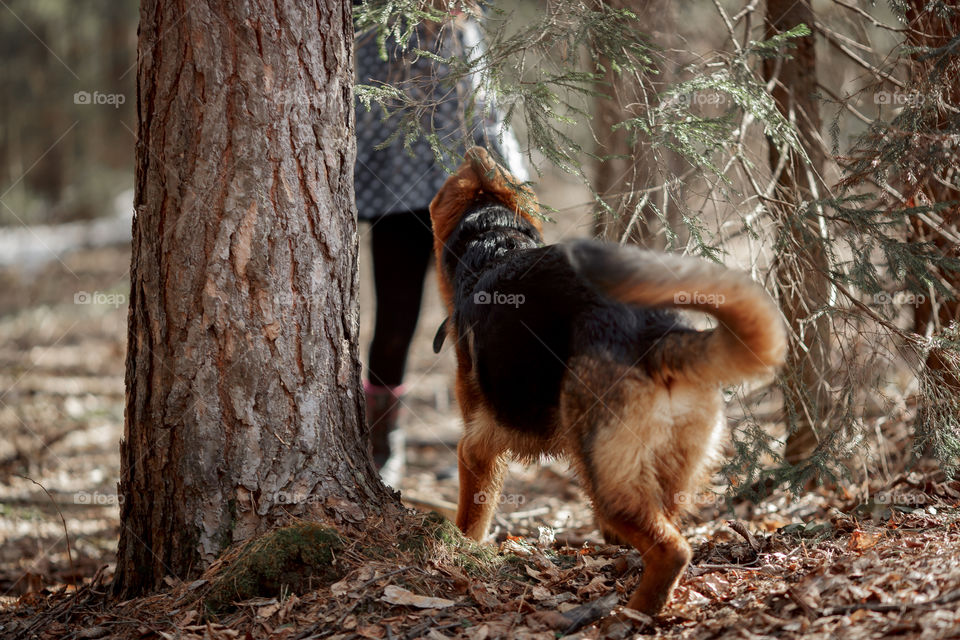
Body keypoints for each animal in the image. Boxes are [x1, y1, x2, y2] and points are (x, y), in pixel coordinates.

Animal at [430, 146, 788, 616]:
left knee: (672, 549)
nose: (476, 148)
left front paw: (461, 549)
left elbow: (472, 515)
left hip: (606, 477)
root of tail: (658, 335)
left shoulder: (477, 448)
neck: (493, 244)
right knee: (667, 526)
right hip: (667, 468)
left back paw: (636, 610)